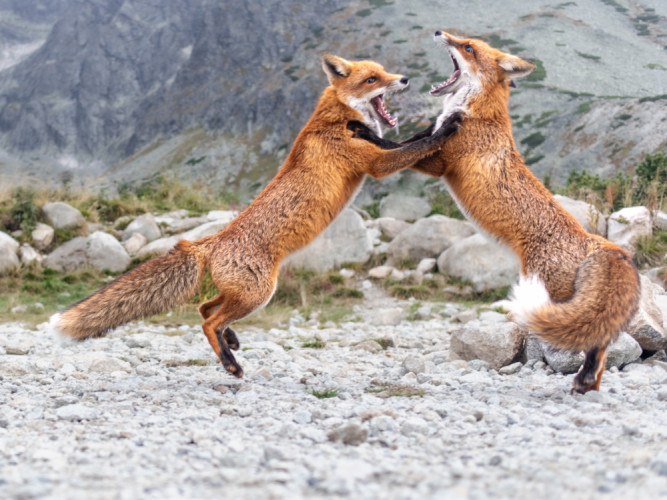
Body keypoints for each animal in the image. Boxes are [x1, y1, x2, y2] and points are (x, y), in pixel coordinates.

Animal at [52, 53, 462, 376]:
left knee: (205, 307)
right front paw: (447, 126)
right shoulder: (375, 163)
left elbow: (412, 140)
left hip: (245, 293)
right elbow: (420, 144)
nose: (405, 79)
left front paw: (436, 122)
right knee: (209, 320)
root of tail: (211, 240)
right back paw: (230, 363)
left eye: (385, 71)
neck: (336, 119)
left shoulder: (381, 149)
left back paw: (230, 341)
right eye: (372, 79)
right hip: (259, 293)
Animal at [354, 32, 640, 394]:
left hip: (554, 294)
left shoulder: (438, 163)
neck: (476, 112)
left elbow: (397, 147)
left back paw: (585, 377)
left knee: (592, 338)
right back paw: (588, 382)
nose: (439, 33)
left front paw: (364, 132)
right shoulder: (430, 140)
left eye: (468, 48)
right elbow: (408, 141)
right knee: (600, 343)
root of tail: (593, 240)